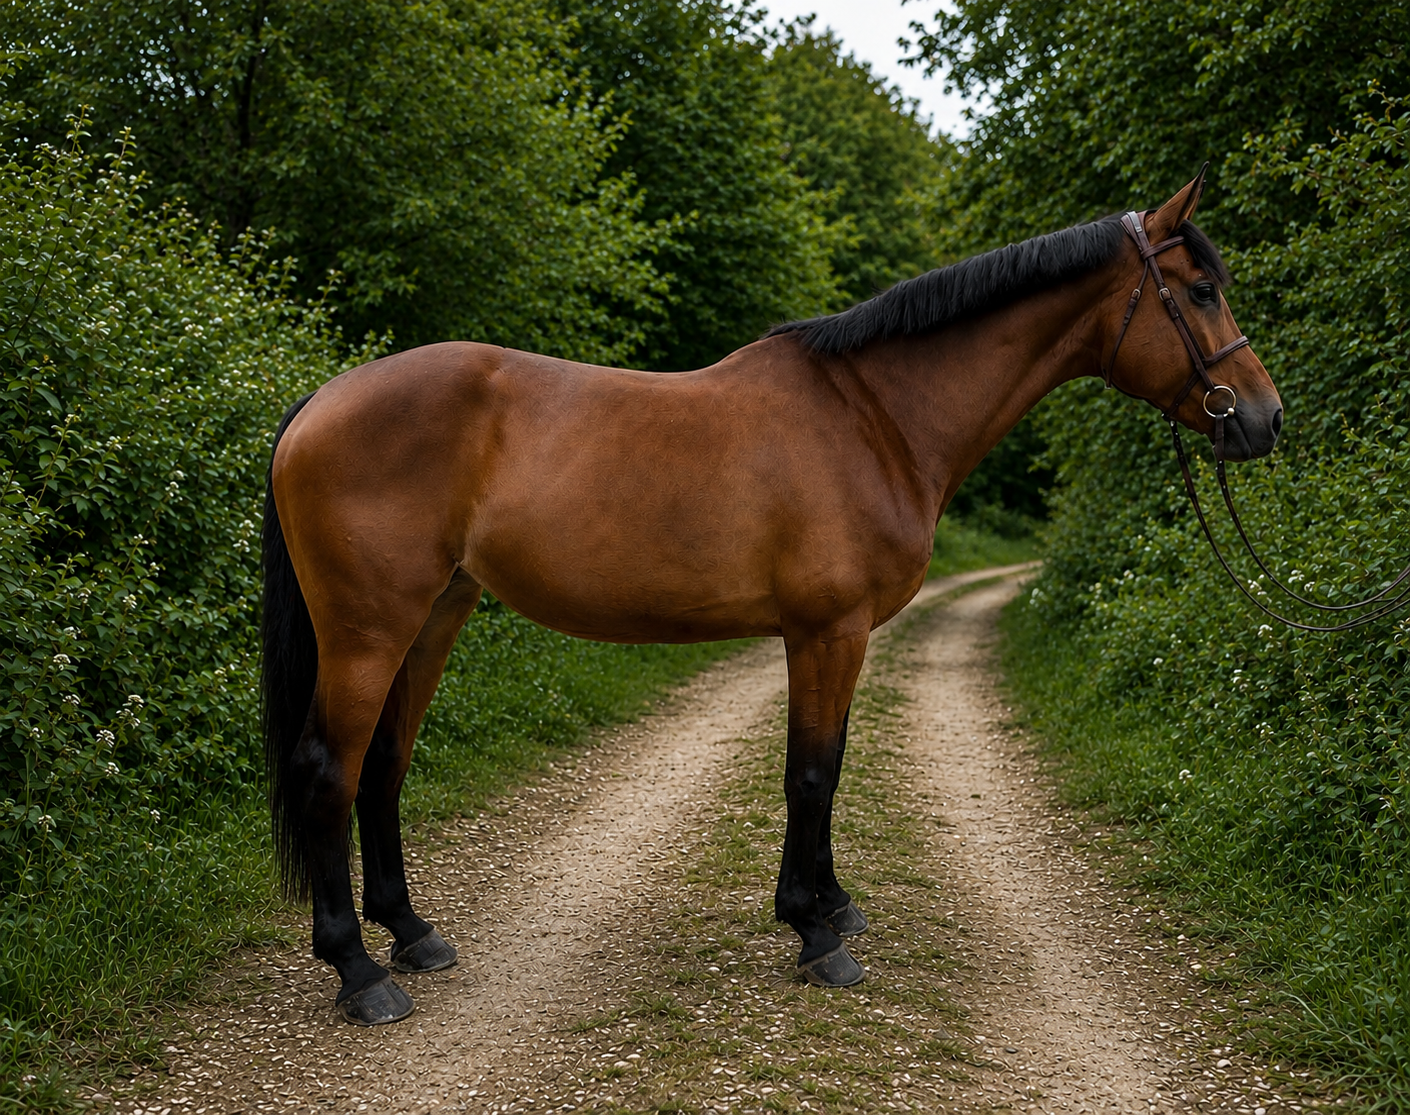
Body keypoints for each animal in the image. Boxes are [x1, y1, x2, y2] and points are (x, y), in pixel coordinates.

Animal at [261, 171, 1283, 1024]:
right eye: (1199, 291)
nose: (1265, 418)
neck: (876, 416)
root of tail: (318, 403)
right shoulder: (826, 631)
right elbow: (812, 772)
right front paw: (814, 933)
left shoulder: (837, 636)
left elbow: (830, 764)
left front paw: (833, 903)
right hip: (370, 631)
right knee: (329, 769)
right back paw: (360, 971)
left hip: (436, 614)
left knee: (384, 766)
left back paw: (413, 933)